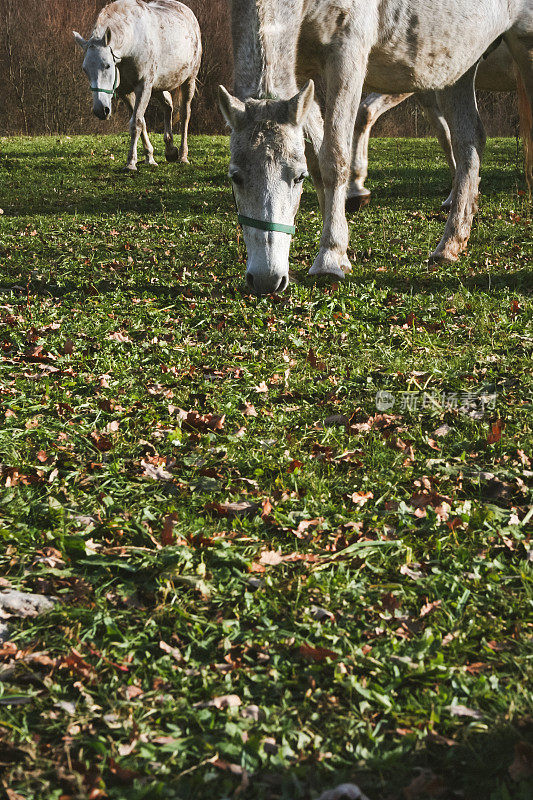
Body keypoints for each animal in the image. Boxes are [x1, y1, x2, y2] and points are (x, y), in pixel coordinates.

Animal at [74, 0, 201, 170]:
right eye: (85, 69)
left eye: (107, 65)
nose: (101, 110)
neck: (133, 40)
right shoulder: (126, 92)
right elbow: (141, 122)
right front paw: (149, 157)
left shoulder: (143, 87)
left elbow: (136, 123)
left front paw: (131, 162)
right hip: (158, 86)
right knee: (168, 105)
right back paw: (170, 150)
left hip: (189, 81)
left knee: (185, 114)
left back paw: (182, 155)